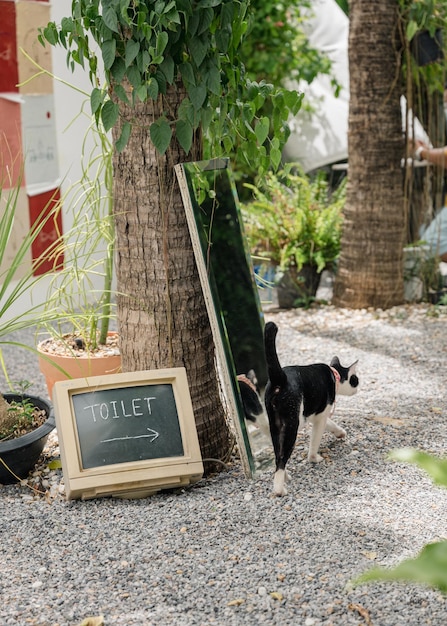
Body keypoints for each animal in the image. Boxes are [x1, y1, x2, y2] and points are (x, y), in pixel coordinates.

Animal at [264, 320, 358, 494]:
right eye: (355, 379)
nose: (358, 387)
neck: (334, 374)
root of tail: (280, 379)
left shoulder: (319, 413)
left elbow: (331, 424)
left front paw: (340, 432)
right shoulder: (320, 416)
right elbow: (316, 439)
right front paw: (314, 459)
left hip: (274, 424)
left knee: (277, 453)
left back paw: (285, 477)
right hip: (293, 423)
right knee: (282, 457)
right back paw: (280, 489)